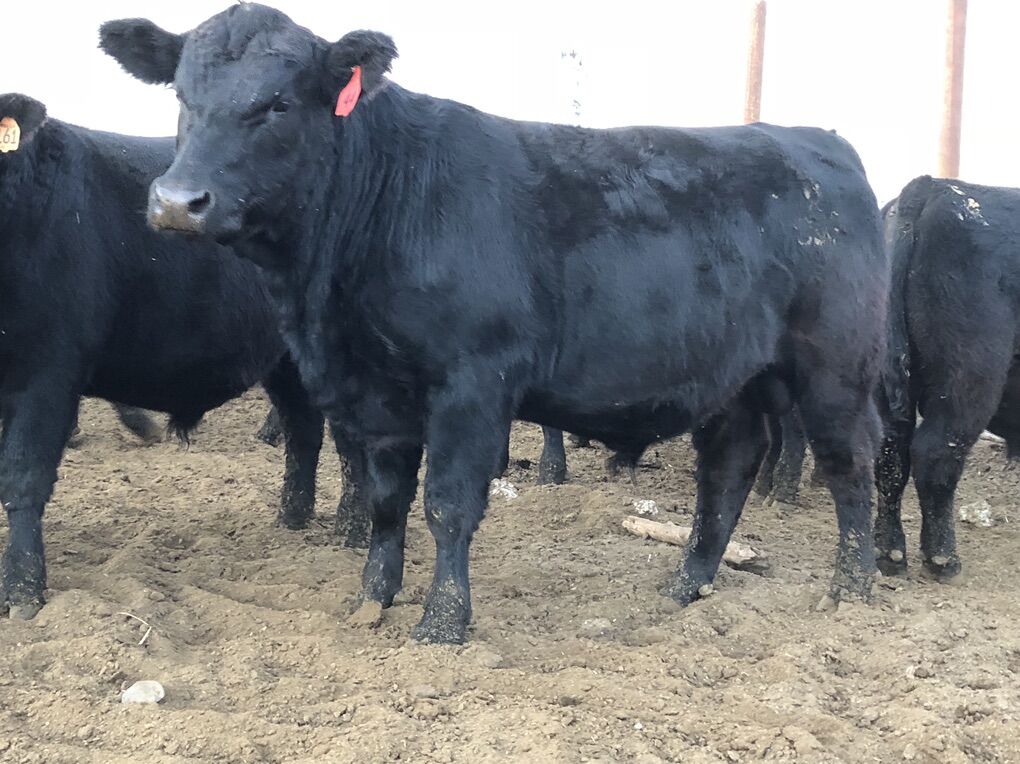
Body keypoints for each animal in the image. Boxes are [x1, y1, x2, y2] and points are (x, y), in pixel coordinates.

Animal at [0, 92, 368, 620]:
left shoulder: (46, 374)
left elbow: (23, 477)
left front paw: (23, 592)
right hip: (283, 360)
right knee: (303, 430)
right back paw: (291, 520)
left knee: (349, 442)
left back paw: (351, 533)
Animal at [101, 4, 889, 644]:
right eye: (182, 96)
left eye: (278, 103)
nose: (177, 202)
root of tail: (814, 140)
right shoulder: (378, 393)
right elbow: (386, 501)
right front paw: (372, 601)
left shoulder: (472, 382)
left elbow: (448, 504)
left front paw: (443, 623)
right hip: (735, 376)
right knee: (727, 468)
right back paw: (686, 586)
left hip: (834, 367)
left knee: (849, 464)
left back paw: (850, 591)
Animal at [872, 176, 1020, 579]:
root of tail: (934, 187)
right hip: (969, 376)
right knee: (935, 452)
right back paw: (942, 558)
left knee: (891, 452)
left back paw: (889, 552)